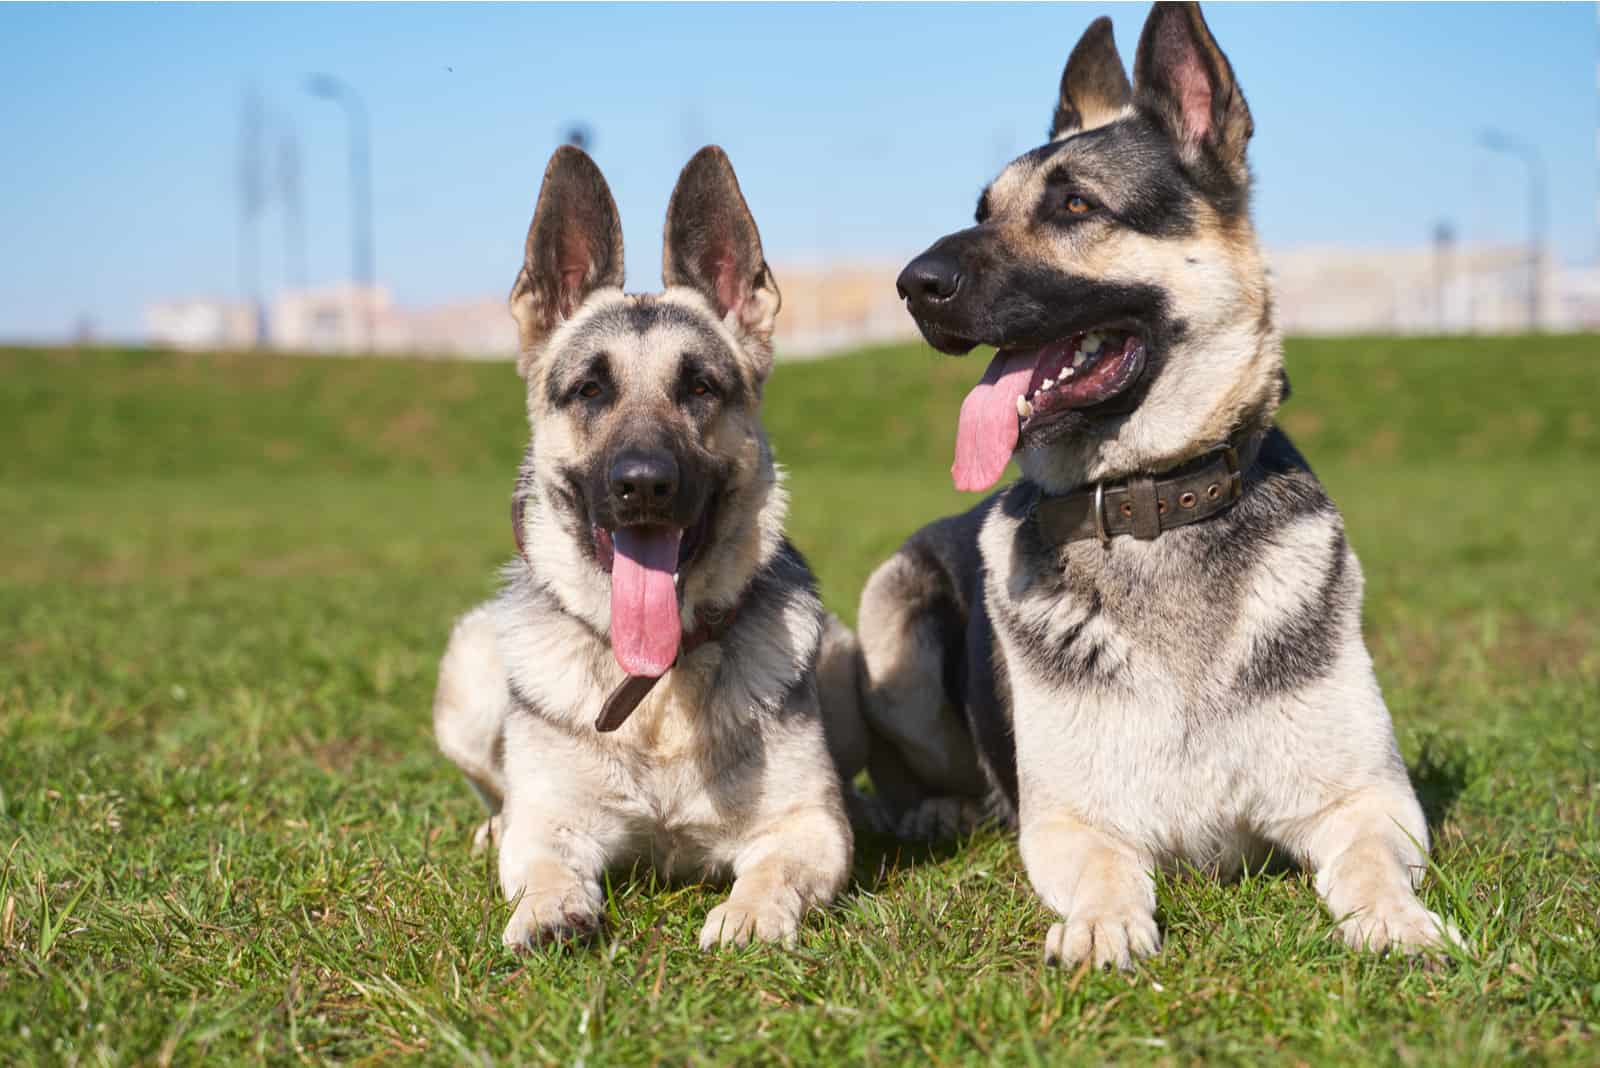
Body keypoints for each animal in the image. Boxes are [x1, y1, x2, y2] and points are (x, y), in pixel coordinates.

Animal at [432, 143, 864, 952]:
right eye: (589, 391)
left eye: (700, 388)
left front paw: (751, 914)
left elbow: (776, 869)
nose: (643, 486)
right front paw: (548, 911)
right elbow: (542, 862)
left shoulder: (810, 827)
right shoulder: (553, 824)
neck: (656, 692)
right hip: (469, 674)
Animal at [864, 2, 1452, 965]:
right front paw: (1103, 927)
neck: (1154, 503)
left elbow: (1368, 861)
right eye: (981, 211)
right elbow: (1107, 871)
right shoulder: (1072, 823)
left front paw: (1395, 921)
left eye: (1075, 204)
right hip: (891, 617)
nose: (914, 285)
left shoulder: (1370, 800)